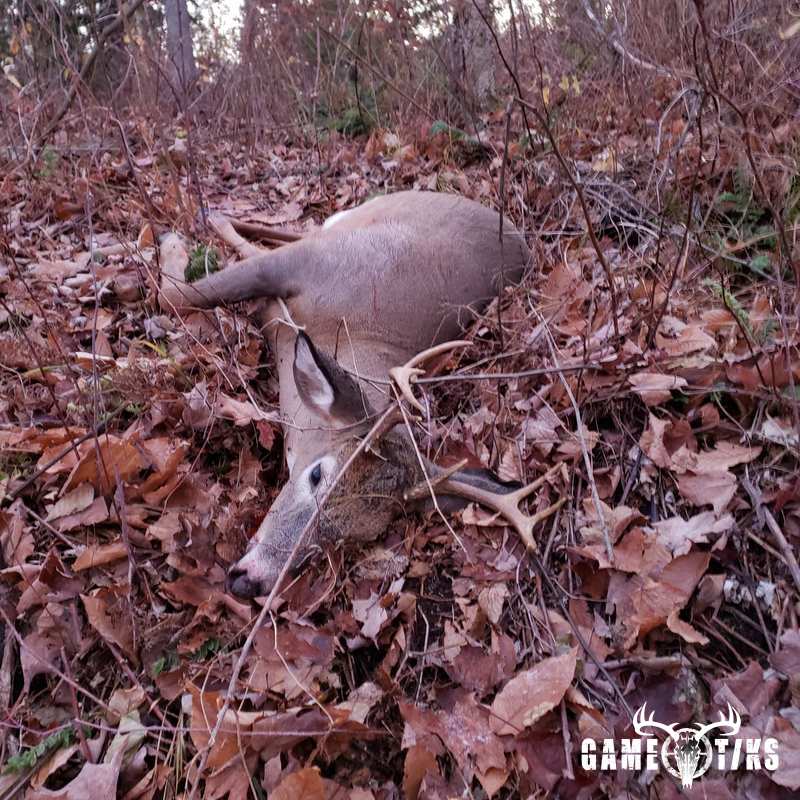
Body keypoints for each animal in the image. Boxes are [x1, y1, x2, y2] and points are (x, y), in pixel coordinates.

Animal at [159, 190, 555, 598]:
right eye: (316, 475)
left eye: (350, 537)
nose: (248, 582)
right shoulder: (305, 263)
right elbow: (176, 294)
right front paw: (174, 243)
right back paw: (210, 219)